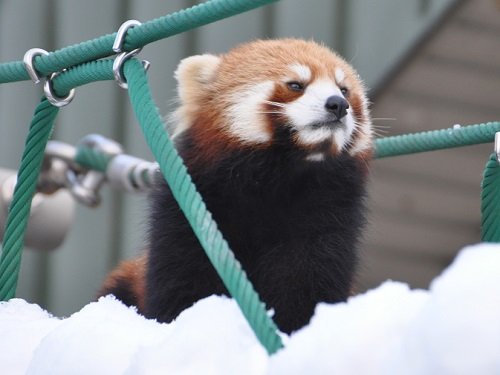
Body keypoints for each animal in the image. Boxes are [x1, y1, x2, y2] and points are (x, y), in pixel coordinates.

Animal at [98, 39, 372, 334]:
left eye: (344, 89)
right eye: (296, 85)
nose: (338, 104)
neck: (280, 177)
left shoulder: (328, 218)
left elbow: (309, 278)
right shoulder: (190, 212)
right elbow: (182, 275)